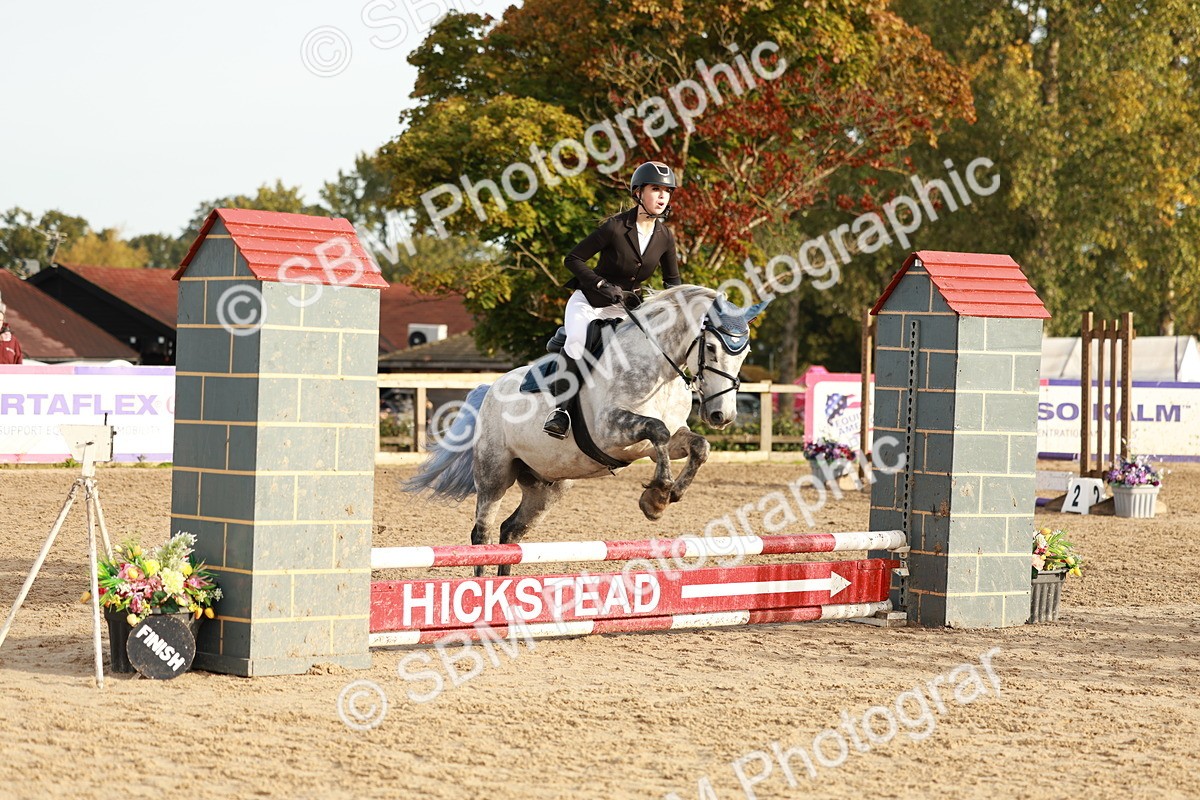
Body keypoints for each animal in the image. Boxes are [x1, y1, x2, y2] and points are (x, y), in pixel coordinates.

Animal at [404, 285, 769, 576]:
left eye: (746, 353)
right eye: (712, 348)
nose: (722, 415)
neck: (658, 369)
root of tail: (489, 389)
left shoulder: (652, 443)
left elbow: (697, 446)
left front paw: (669, 495)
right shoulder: (612, 432)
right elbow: (658, 430)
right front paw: (656, 498)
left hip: (547, 486)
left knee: (511, 531)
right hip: (495, 475)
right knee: (483, 532)